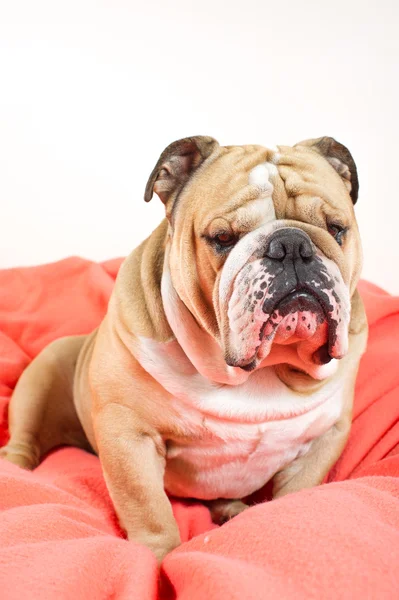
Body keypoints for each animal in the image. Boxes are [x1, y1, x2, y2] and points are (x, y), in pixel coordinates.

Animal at [0, 136, 368, 564]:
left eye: (336, 229)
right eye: (222, 238)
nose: (292, 244)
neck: (259, 370)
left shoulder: (325, 436)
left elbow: (296, 492)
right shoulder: (129, 434)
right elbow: (148, 506)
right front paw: (160, 558)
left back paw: (231, 509)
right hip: (42, 374)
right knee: (24, 437)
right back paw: (16, 472)